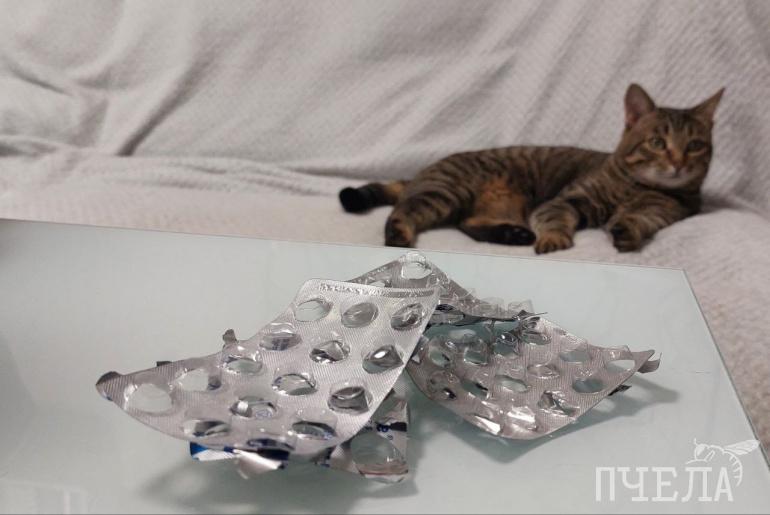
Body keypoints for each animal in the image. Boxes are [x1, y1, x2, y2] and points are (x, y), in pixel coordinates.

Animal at [338, 84, 723, 253]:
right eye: (657, 142)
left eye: (695, 145)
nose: (678, 163)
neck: (637, 186)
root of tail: (426, 169)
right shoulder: (566, 199)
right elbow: (555, 218)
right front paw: (554, 238)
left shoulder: (663, 211)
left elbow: (640, 219)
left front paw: (626, 229)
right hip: (445, 192)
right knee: (404, 210)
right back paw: (398, 234)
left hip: (501, 203)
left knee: (469, 223)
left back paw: (513, 235)